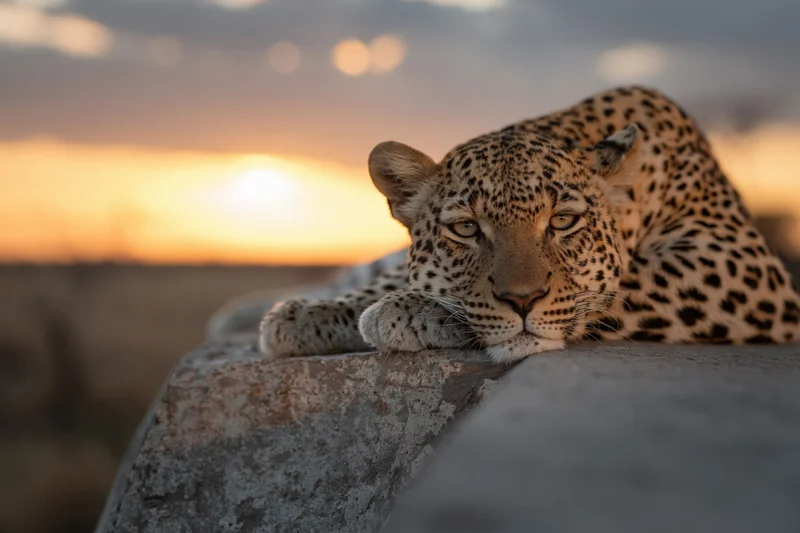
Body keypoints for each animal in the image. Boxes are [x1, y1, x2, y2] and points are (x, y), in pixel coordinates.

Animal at [258, 85, 800, 363]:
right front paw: (312, 315)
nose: (521, 301)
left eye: (563, 222)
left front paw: (408, 311)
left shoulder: (738, 263)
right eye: (467, 229)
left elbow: (611, 288)